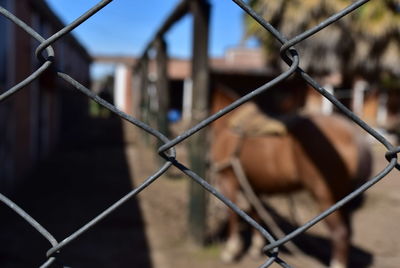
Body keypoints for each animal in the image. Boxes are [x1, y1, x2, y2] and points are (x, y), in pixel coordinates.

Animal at [212, 87, 372, 266]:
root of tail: (354, 136)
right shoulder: (255, 185)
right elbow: (257, 213)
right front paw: (255, 248)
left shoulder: (228, 179)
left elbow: (232, 213)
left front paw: (230, 250)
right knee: (348, 232)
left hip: (326, 197)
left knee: (340, 233)